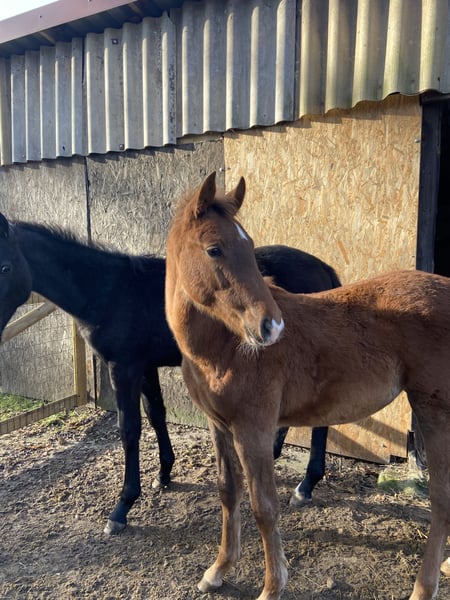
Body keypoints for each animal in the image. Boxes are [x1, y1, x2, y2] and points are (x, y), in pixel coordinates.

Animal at [0, 212, 340, 535]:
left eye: (4, 267)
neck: (109, 291)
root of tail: (324, 269)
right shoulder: (145, 367)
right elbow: (156, 415)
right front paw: (164, 473)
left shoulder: (123, 368)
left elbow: (129, 429)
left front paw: (122, 506)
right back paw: (274, 455)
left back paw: (306, 485)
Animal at [164, 172, 450, 600]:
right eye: (214, 249)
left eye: (250, 246)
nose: (271, 327)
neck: (226, 347)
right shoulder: (219, 426)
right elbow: (227, 492)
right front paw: (218, 570)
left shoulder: (254, 429)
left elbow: (264, 507)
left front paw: (271, 587)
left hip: (433, 410)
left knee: (440, 498)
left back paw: (423, 587)